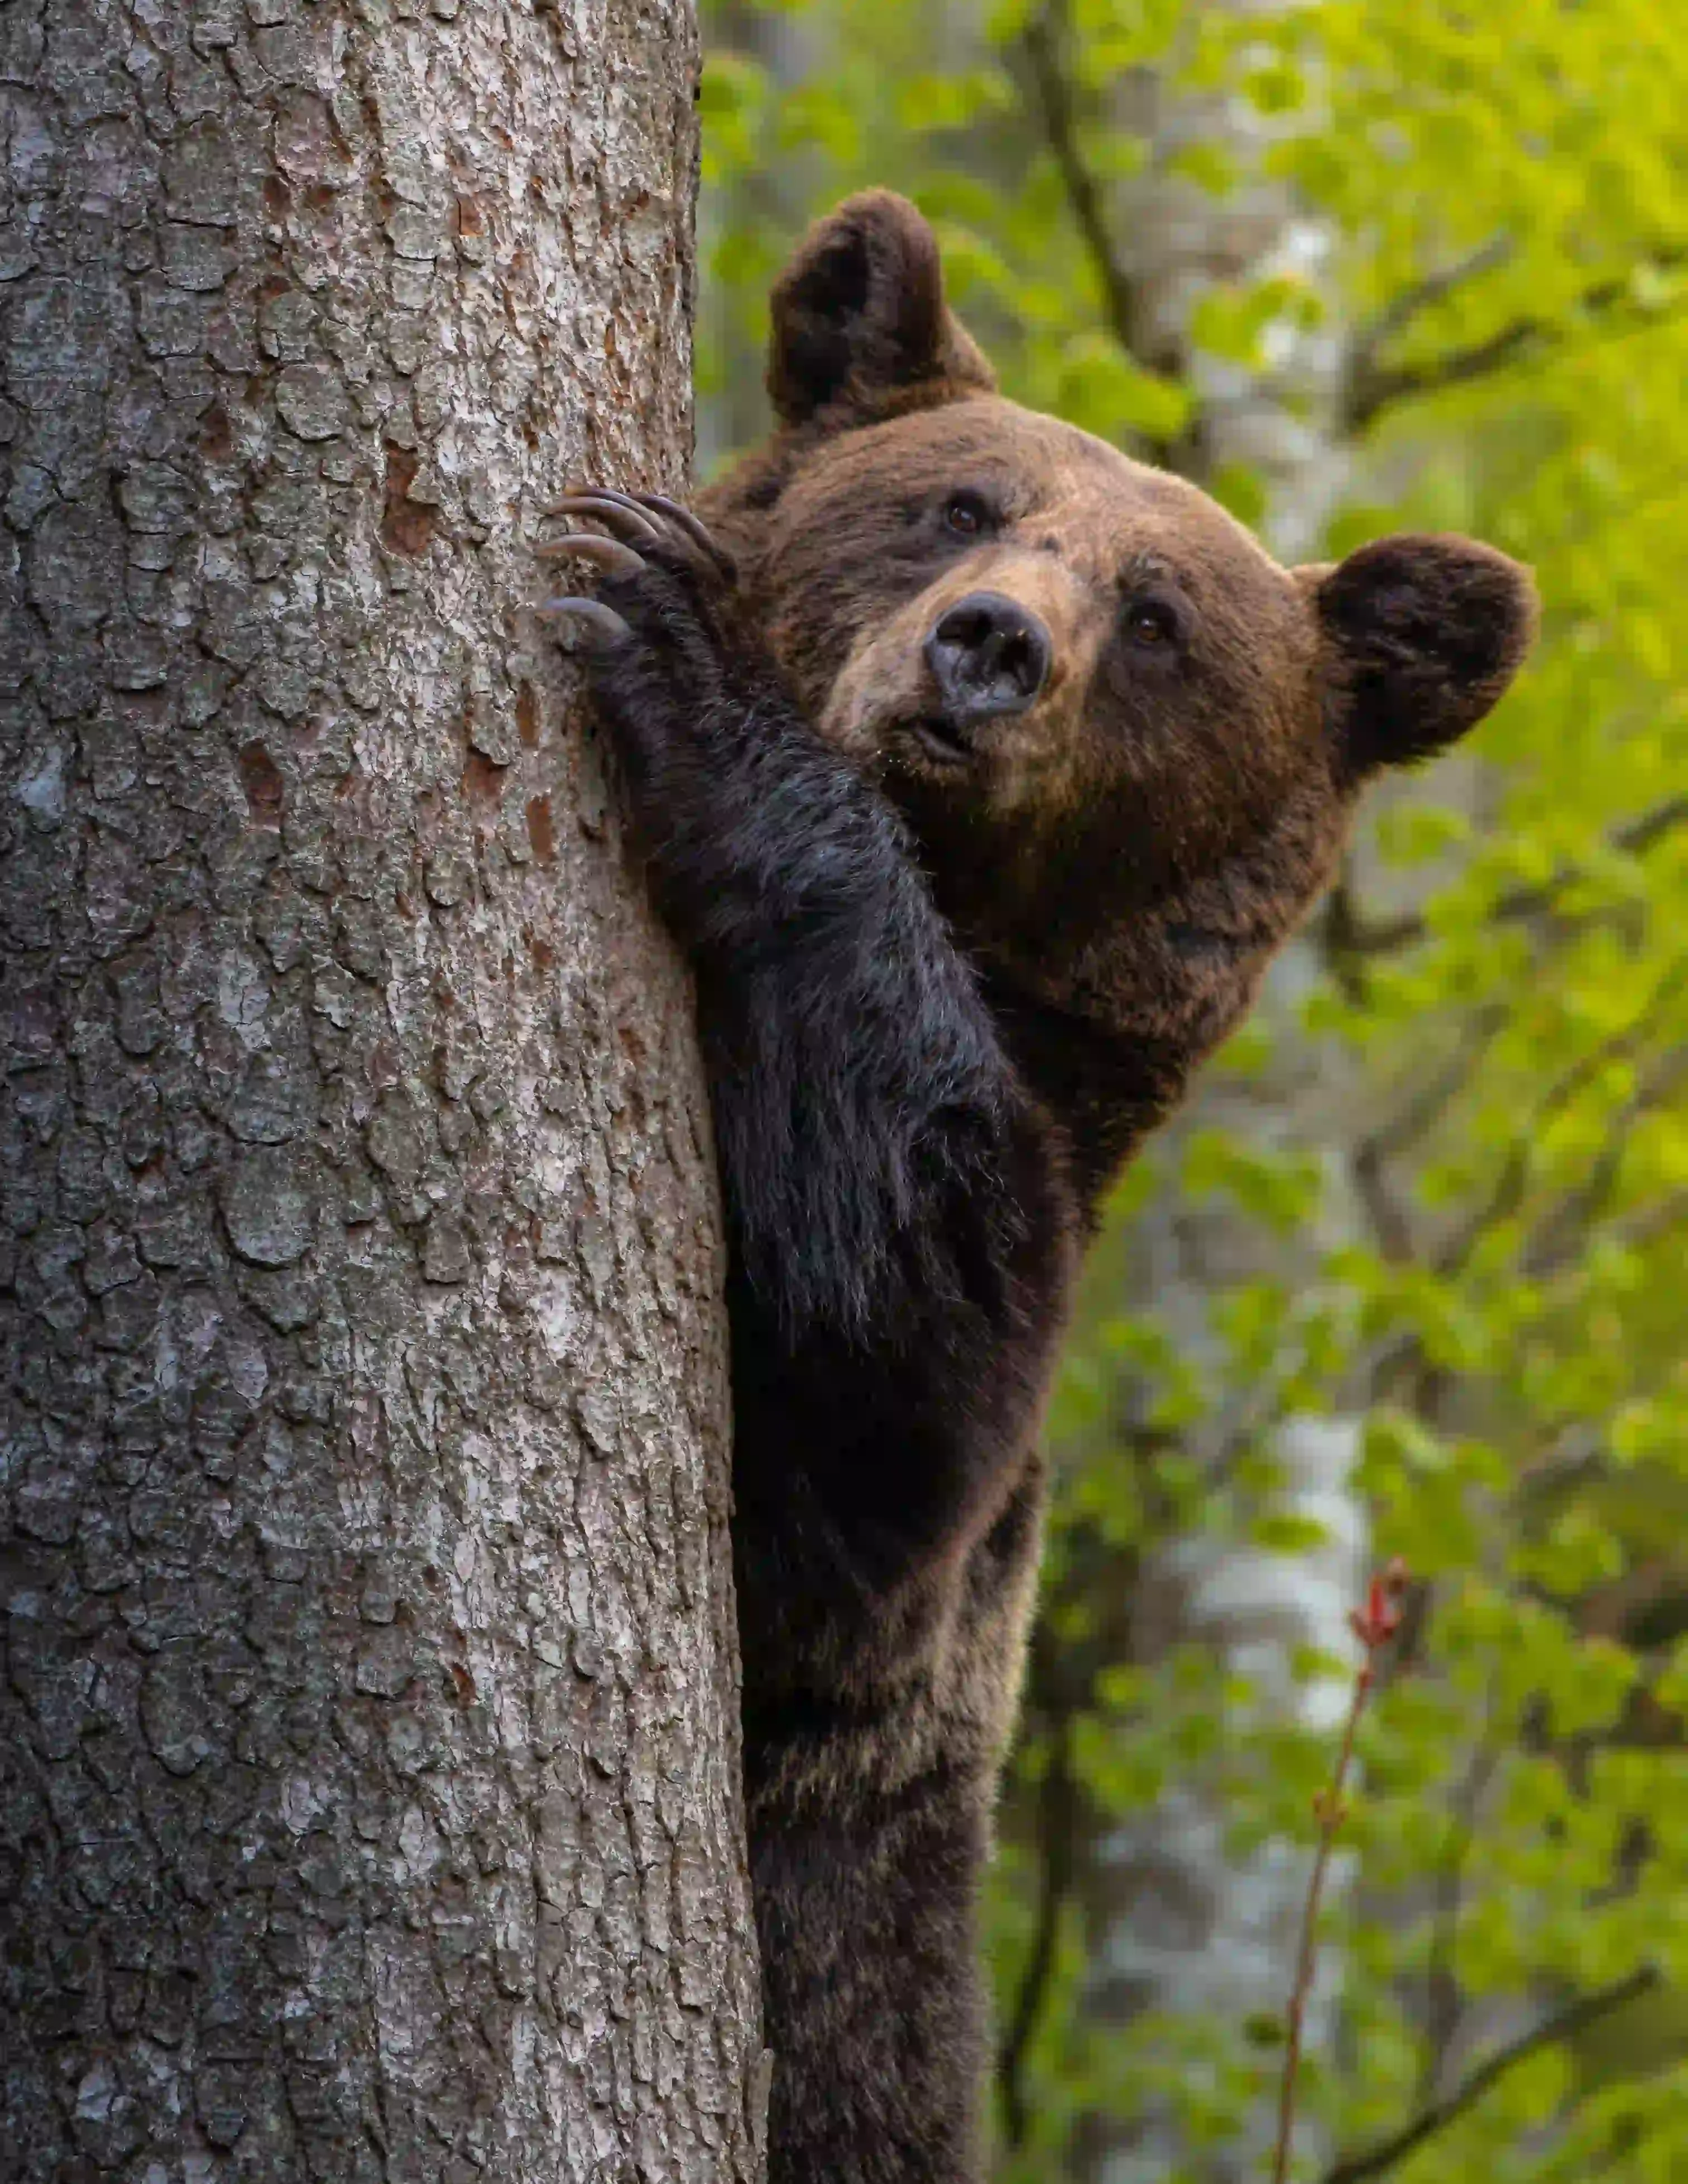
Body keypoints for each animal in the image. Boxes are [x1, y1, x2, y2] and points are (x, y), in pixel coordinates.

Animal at [535, 192, 1536, 2184]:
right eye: (958, 501)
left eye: (1159, 617)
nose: (988, 647)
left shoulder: (951, 1452)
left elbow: (871, 1430)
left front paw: (682, 657)